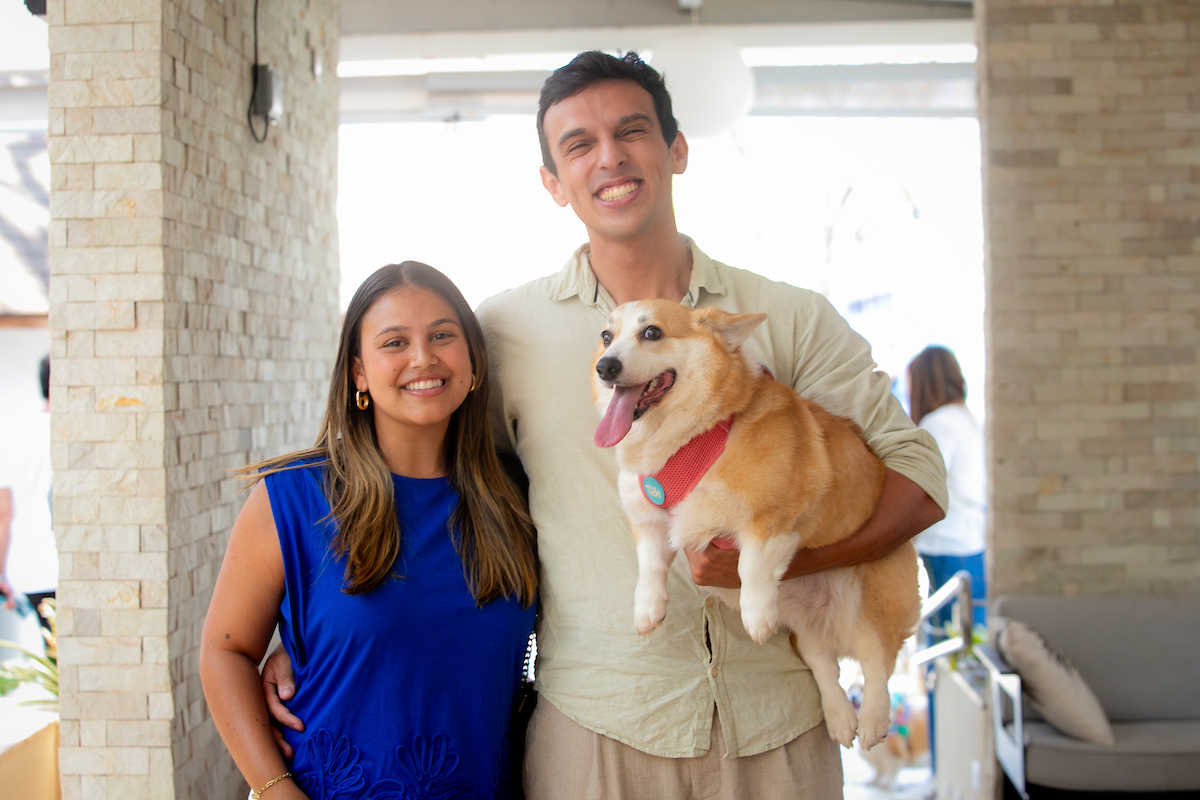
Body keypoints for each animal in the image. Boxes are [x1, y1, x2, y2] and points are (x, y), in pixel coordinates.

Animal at [590, 299, 916, 753]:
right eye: (606, 337)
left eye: (651, 333)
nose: (605, 367)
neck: (687, 439)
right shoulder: (649, 520)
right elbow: (650, 566)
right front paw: (647, 610)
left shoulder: (769, 520)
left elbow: (752, 568)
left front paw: (756, 616)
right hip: (803, 628)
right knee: (822, 663)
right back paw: (839, 717)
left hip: (871, 600)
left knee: (876, 660)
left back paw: (870, 721)